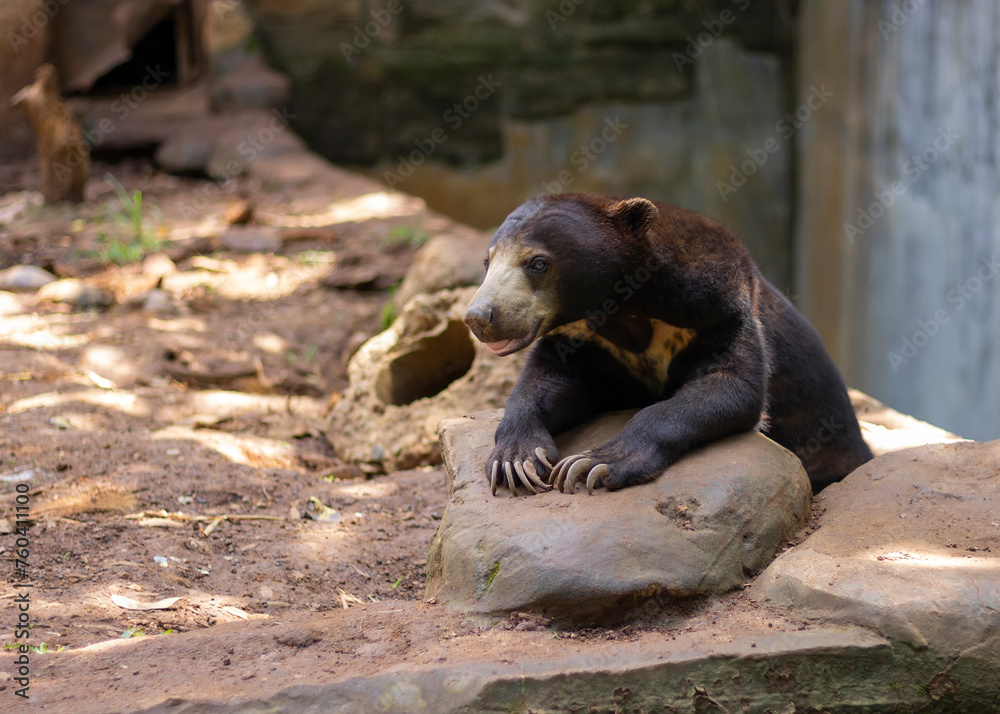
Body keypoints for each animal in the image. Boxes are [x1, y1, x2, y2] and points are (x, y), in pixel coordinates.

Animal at [464, 192, 872, 498]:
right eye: (487, 262)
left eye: (537, 262)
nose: (479, 316)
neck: (621, 309)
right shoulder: (584, 340)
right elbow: (546, 381)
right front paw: (516, 461)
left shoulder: (719, 307)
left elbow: (730, 385)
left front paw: (594, 462)